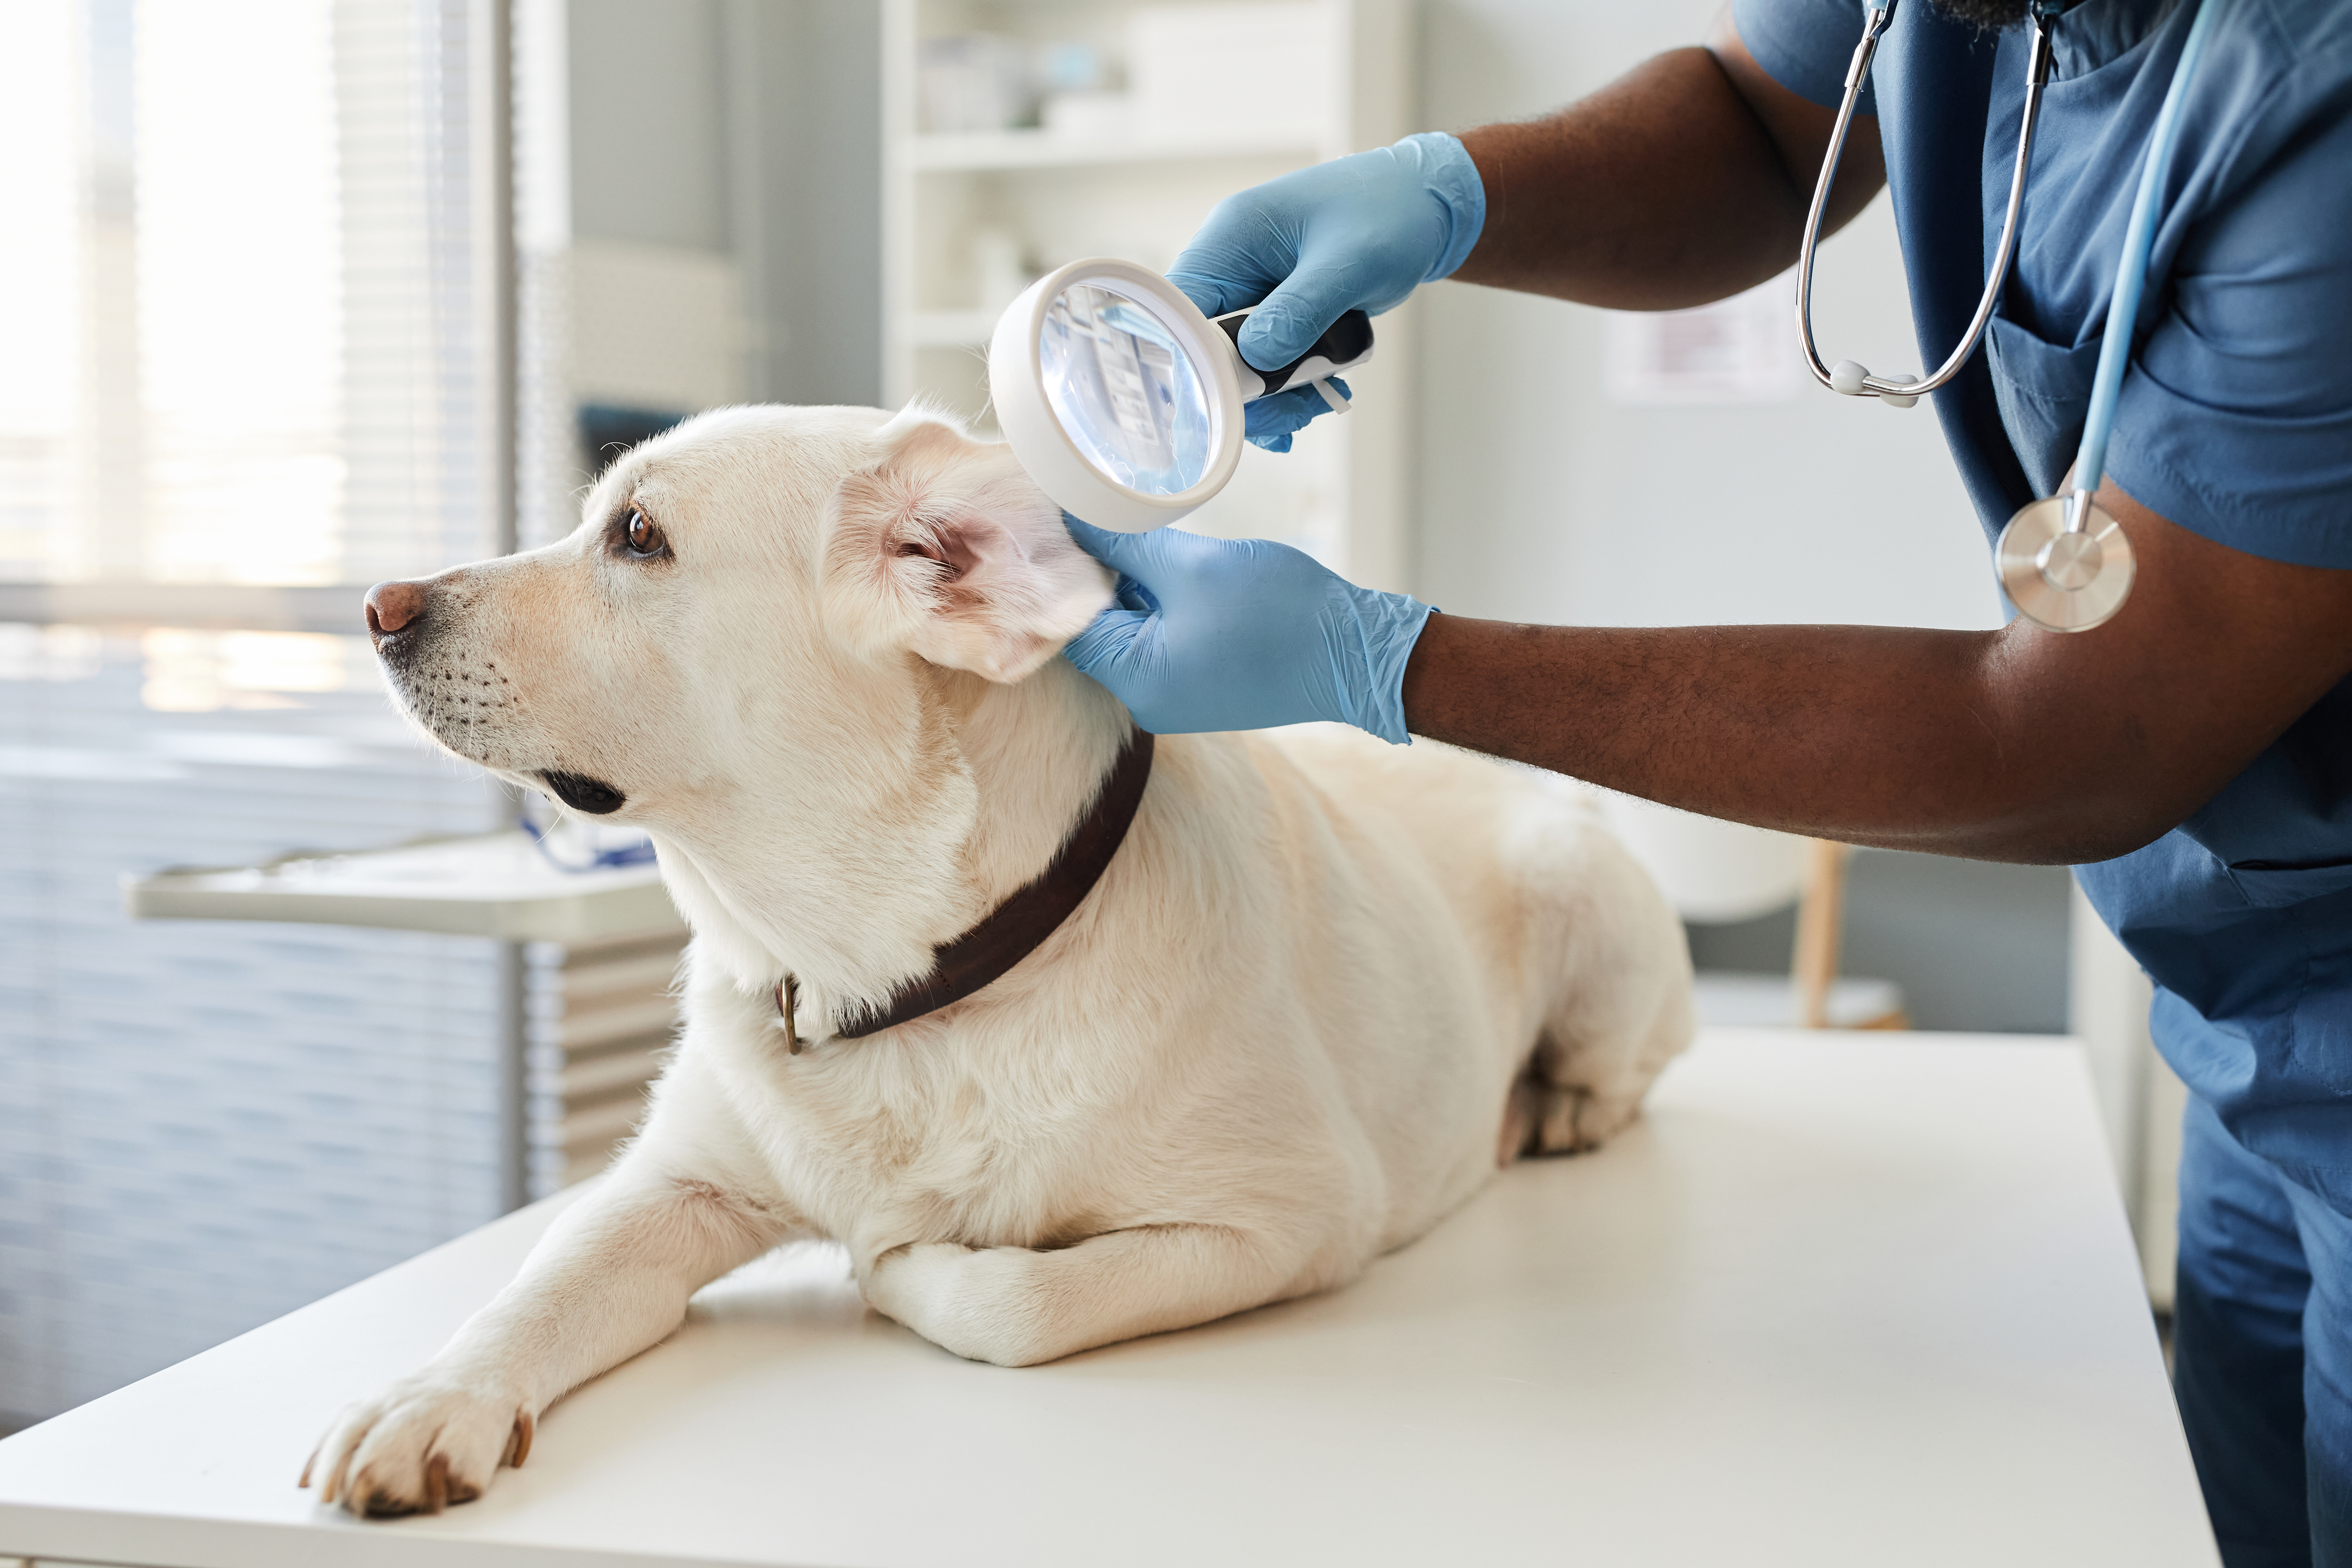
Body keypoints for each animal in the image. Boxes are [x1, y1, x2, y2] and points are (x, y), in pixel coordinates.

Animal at [303, 409, 1693, 1523]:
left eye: (637, 534)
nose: (374, 608)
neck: (900, 979)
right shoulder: (671, 1183)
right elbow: (533, 1286)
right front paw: (425, 1397)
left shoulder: (1292, 1215)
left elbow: (1018, 1304)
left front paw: (902, 1267)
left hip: (1584, 896)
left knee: (1625, 1068)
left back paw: (1551, 1106)